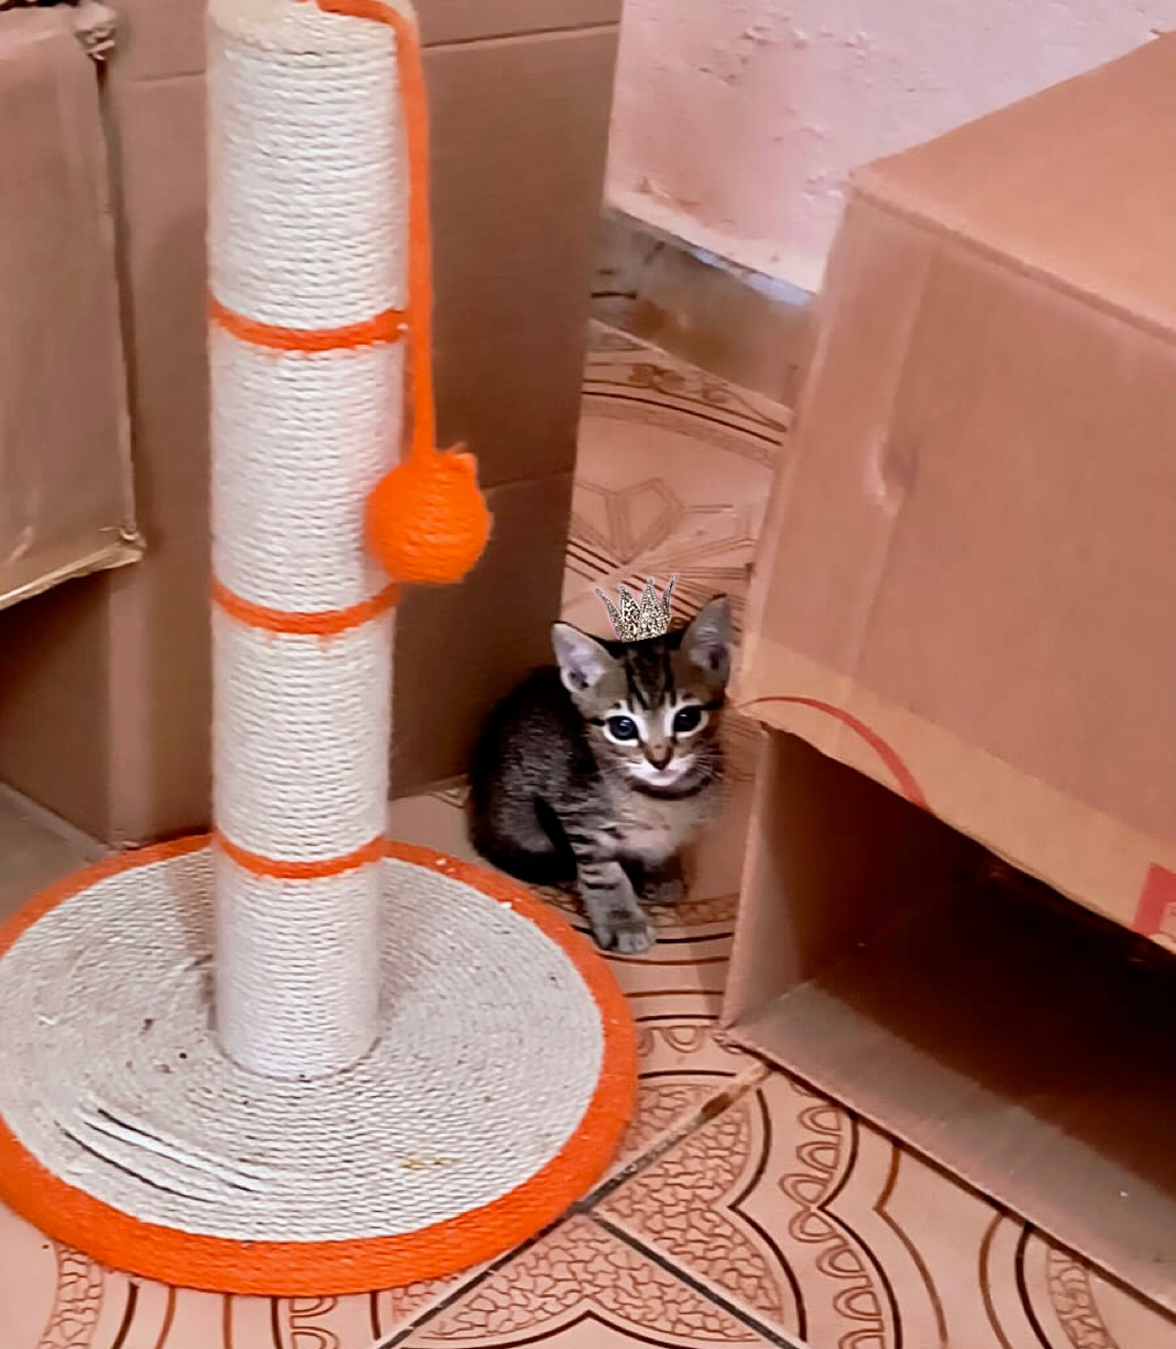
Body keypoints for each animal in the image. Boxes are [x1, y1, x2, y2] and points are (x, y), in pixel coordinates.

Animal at [468, 597, 732, 953]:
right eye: (623, 727)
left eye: (687, 718)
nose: (659, 760)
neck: (662, 800)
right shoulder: (578, 816)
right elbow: (604, 874)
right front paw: (623, 922)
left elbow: (664, 846)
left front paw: (662, 873)